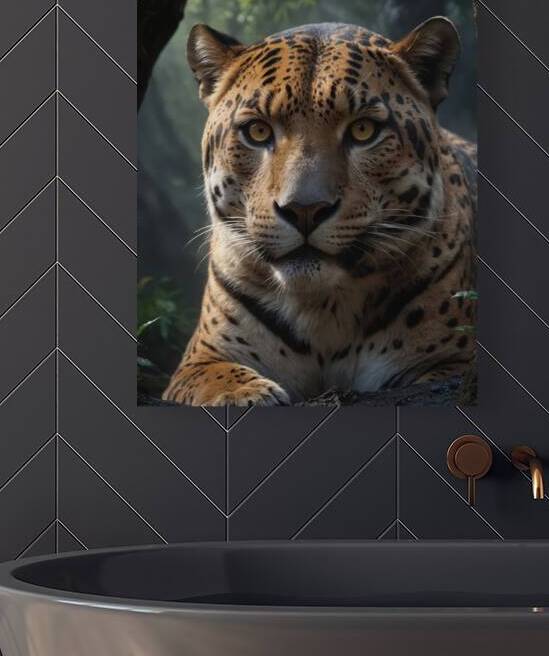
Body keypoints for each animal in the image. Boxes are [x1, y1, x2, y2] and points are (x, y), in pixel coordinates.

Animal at [163, 16, 477, 406]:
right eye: (257, 131)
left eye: (363, 130)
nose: (304, 210)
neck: (325, 311)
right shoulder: (200, 358)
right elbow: (214, 378)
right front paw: (242, 393)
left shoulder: (455, 361)